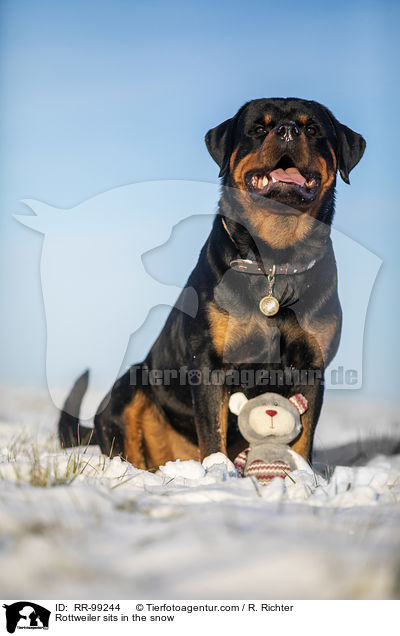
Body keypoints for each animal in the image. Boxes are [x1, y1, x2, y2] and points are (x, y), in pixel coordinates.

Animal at [58, 98, 366, 468]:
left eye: (311, 128)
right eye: (258, 128)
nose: (288, 130)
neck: (274, 258)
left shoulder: (311, 366)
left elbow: (302, 440)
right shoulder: (210, 362)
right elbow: (213, 432)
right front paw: (218, 472)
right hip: (131, 385)